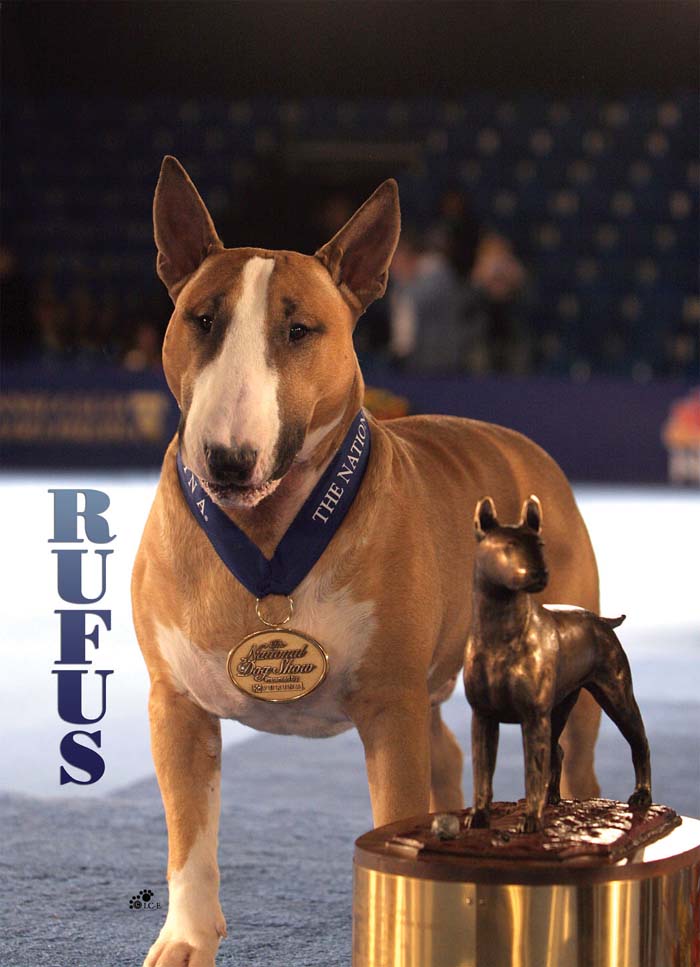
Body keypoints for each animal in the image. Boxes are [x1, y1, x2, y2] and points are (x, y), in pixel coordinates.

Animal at [133, 155, 600, 964]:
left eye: (299, 329)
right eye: (202, 319)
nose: (227, 460)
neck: (268, 539)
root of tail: (530, 453)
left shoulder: (389, 708)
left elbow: (394, 808)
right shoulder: (177, 705)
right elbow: (189, 835)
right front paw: (187, 938)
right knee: (450, 755)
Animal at [464, 496, 652, 836]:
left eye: (540, 543)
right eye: (509, 545)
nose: (541, 573)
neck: (500, 632)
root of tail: (601, 621)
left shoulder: (533, 718)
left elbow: (531, 771)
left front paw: (530, 820)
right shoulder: (483, 717)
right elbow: (482, 773)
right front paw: (479, 816)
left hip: (615, 696)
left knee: (639, 741)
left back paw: (642, 796)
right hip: (561, 706)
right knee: (558, 751)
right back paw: (553, 798)